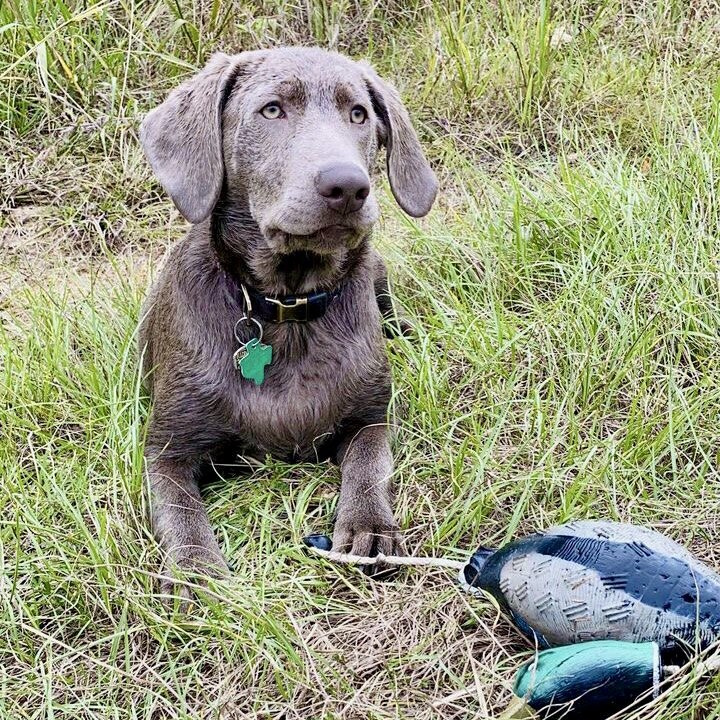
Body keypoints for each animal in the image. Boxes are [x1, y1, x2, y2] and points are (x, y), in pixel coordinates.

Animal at [138, 46, 436, 596]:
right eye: (271, 110)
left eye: (358, 114)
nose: (348, 185)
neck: (288, 308)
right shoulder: (166, 450)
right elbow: (180, 511)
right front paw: (195, 570)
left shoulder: (372, 418)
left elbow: (369, 467)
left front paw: (369, 526)